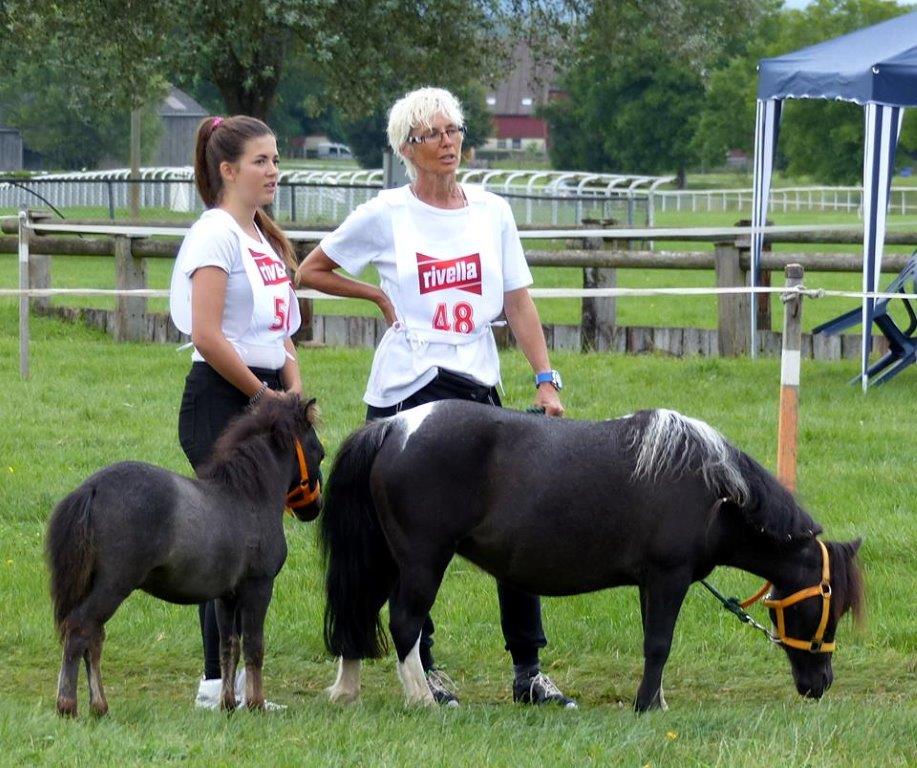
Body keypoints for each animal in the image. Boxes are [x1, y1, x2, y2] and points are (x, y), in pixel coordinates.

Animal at [45, 395, 324, 716]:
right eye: (318, 452)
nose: (314, 507)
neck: (248, 497)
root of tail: (92, 488)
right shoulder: (259, 587)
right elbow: (254, 646)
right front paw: (256, 705)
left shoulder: (226, 597)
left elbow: (228, 646)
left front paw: (228, 704)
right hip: (113, 586)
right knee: (80, 629)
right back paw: (68, 705)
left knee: (94, 637)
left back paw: (99, 706)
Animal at [319, 400, 864, 710]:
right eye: (827, 604)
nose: (822, 683)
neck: (711, 488)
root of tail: (396, 426)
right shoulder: (669, 577)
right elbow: (659, 644)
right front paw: (647, 706)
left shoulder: (651, 583)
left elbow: (653, 642)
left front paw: (655, 698)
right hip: (422, 561)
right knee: (404, 623)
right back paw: (422, 699)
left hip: (385, 558)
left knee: (358, 613)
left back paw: (347, 690)